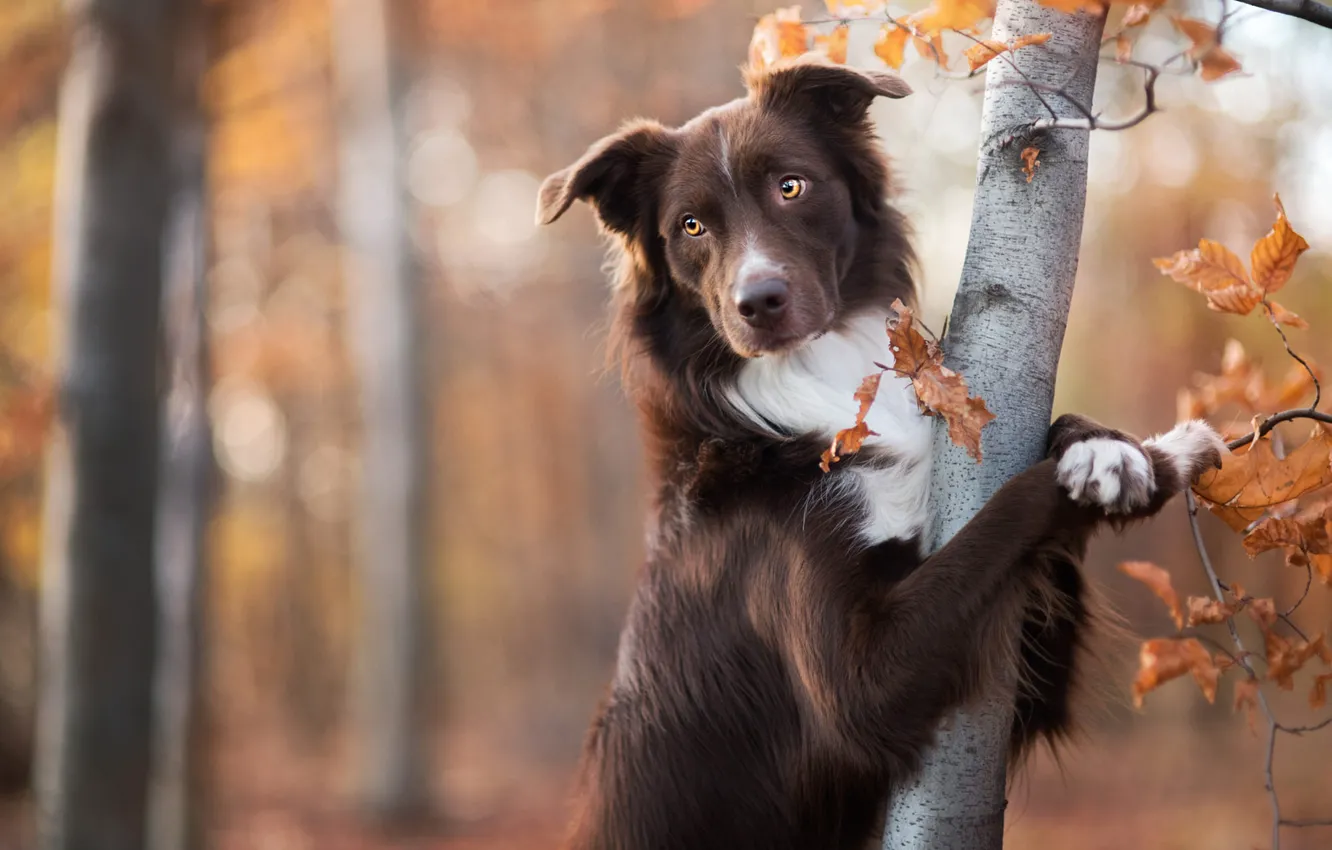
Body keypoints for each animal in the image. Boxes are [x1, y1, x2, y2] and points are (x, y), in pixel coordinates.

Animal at [535, 56, 1220, 847]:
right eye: (691, 226)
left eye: (791, 186)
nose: (758, 302)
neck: (813, 381)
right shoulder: (862, 685)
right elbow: (1006, 511)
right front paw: (1171, 453)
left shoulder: (1029, 699)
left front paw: (1104, 451)